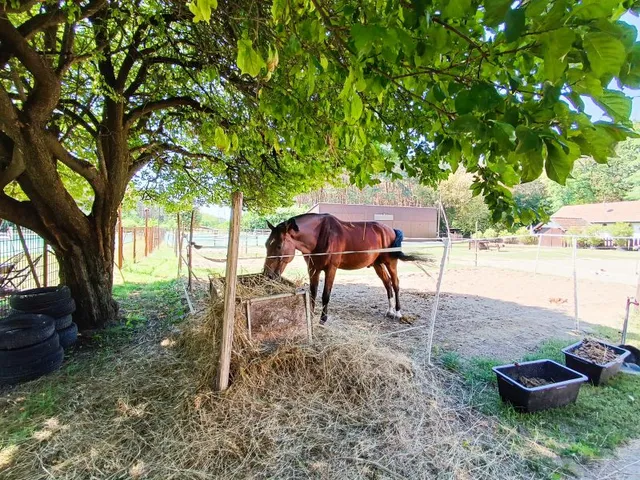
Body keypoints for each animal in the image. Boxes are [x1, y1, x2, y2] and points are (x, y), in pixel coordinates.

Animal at [262, 215, 422, 324]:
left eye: (279, 246)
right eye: (266, 244)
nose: (267, 275)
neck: (322, 234)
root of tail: (391, 230)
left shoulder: (331, 269)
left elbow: (325, 295)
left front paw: (323, 319)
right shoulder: (313, 269)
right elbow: (313, 294)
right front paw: (312, 316)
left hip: (390, 263)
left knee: (395, 284)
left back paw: (398, 312)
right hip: (377, 264)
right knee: (387, 283)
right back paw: (389, 311)